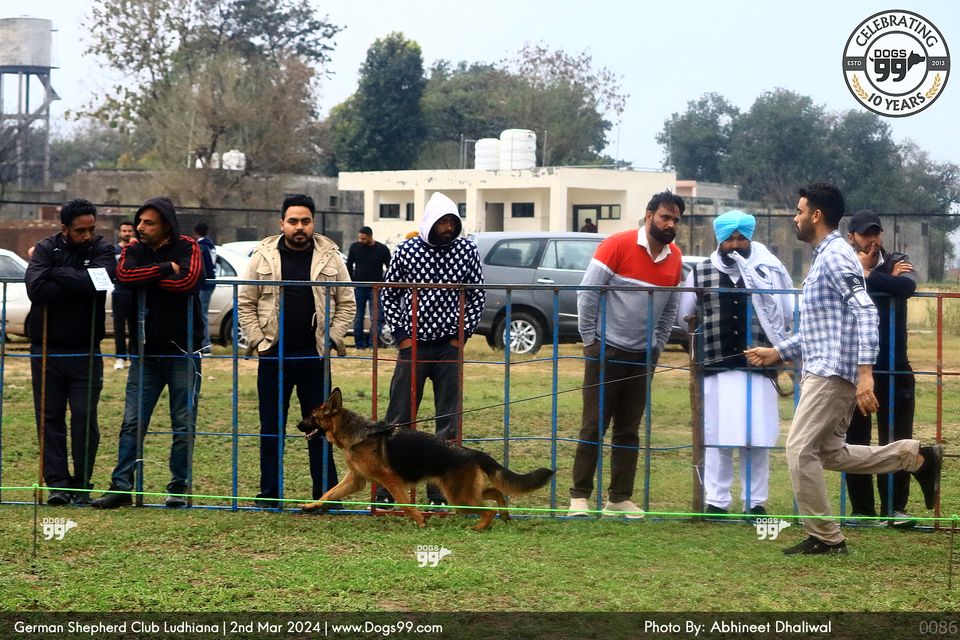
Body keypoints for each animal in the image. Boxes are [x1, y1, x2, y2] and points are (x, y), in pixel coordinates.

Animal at [296, 388, 554, 530]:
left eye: (311, 416)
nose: (297, 425)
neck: (360, 433)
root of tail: (474, 453)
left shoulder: (390, 480)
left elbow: (405, 504)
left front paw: (420, 521)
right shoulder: (355, 480)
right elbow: (329, 493)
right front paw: (311, 505)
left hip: (459, 497)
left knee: (487, 508)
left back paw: (480, 526)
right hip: (462, 493)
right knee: (495, 492)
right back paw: (505, 514)